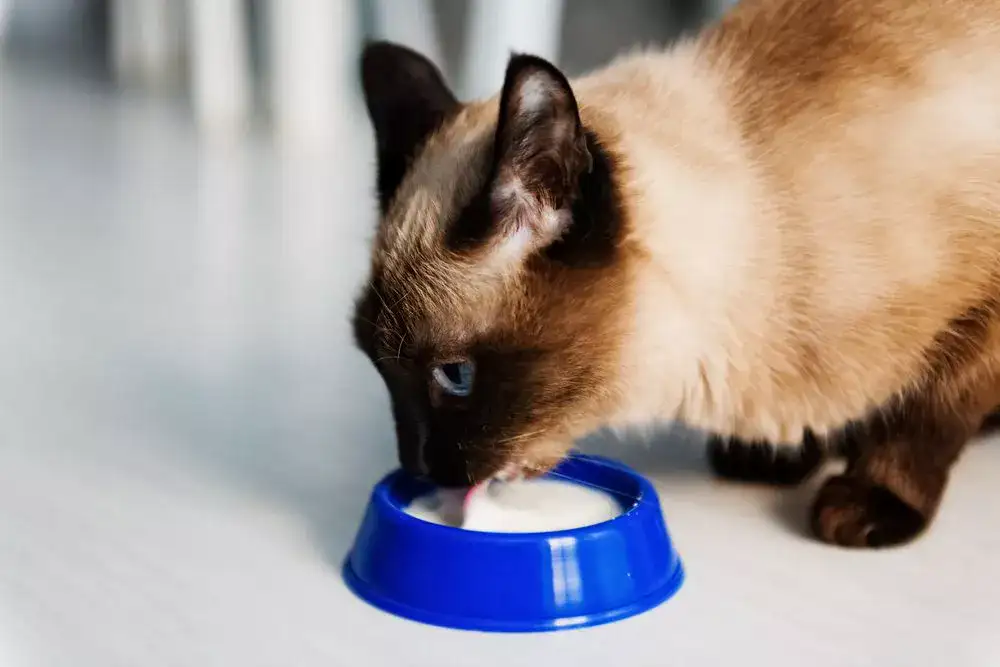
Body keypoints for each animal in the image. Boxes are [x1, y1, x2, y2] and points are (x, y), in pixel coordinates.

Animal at [350, 0, 1000, 552]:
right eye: (379, 369)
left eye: (454, 377)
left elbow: (923, 419)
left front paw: (870, 499)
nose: (416, 466)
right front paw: (774, 456)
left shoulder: (980, 311)